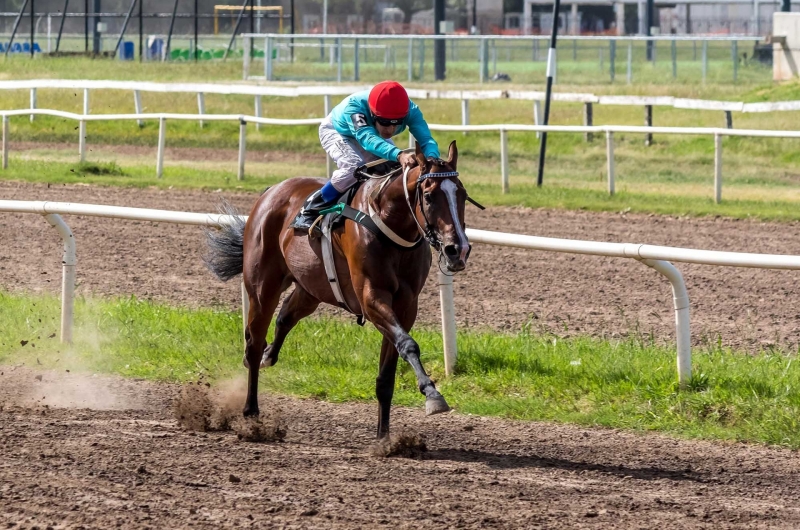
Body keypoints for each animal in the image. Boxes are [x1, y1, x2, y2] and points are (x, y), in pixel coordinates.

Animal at [203, 140, 472, 438]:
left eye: (462, 195)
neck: (388, 223)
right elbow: (408, 344)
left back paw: (268, 355)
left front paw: (384, 438)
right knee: (253, 341)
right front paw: (433, 395)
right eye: (428, 195)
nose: (458, 249)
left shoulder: (406, 305)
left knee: (285, 317)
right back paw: (251, 412)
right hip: (262, 286)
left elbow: (388, 373)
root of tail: (270, 192)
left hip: (310, 289)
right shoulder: (371, 297)